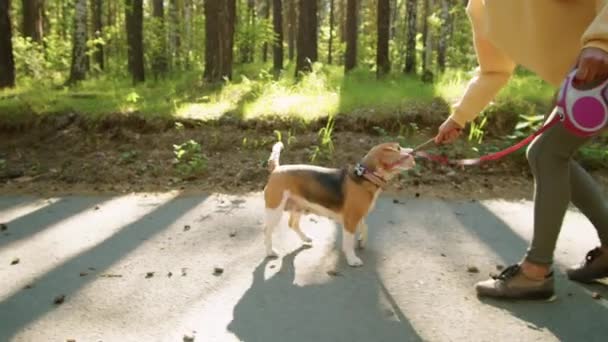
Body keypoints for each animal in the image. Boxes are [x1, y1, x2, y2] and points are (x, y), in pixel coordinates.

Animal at [264, 140, 416, 266]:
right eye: (398, 148)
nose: (413, 151)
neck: (366, 176)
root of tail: (276, 169)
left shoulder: (358, 215)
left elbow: (365, 228)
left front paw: (362, 242)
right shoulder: (351, 220)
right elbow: (348, 242)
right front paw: (352, 259)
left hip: (298, 206)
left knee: (292, 224)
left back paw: (305, 238)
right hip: (274, 210)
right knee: (268, 231)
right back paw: (270, 251)